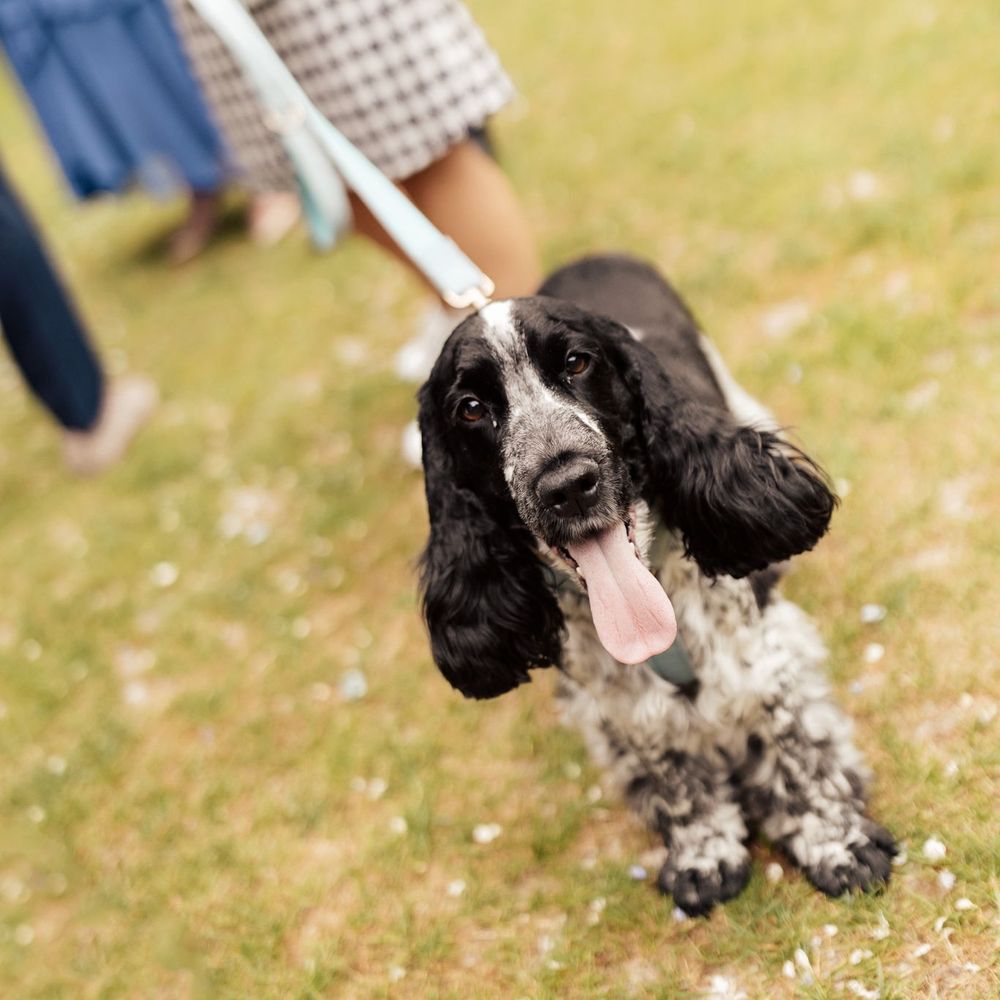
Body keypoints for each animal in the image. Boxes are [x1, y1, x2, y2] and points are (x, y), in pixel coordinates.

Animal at [416, 254, 895, 915]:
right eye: (470, 408)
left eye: (577, 362)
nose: (567, 483)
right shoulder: (616, 701)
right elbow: (670, 769)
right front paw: (704, 854)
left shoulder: (764, 656)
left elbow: (797, 747)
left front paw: (839, 844)